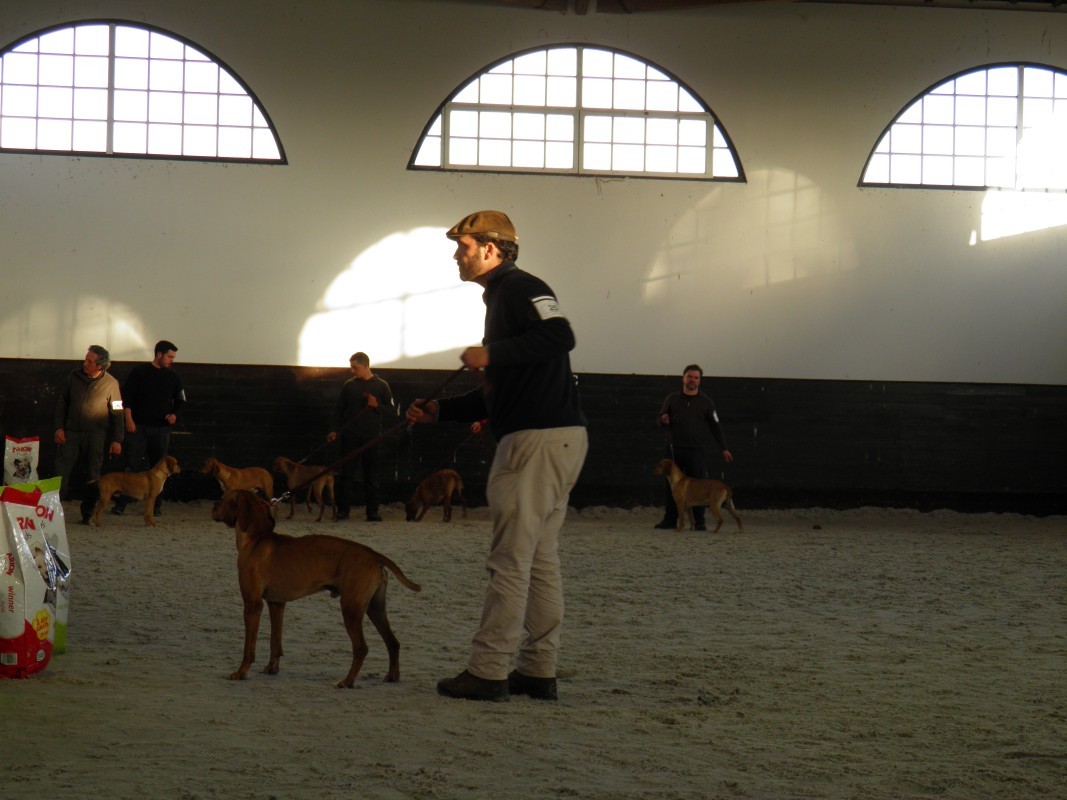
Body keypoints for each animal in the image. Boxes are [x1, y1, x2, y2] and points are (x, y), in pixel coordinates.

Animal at [211, 489, 421, 688]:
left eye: (222, 498)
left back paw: (347, 681)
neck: (256, 538)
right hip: (375, 608)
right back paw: (392, 676)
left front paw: (241, 672)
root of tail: (373, 554)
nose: (213, 505)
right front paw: (272, 667)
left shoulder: (252, 605)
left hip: (351, 608)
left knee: (361, 648)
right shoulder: (276, 604)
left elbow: (249, 648)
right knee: (393, 643)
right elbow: (275, 642)